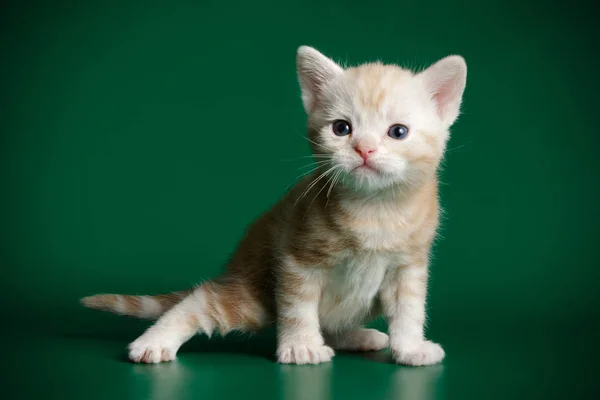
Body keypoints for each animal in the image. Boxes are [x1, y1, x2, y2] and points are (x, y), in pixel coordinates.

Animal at [79, 47, 466, 366]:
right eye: (342, 128)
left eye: (398, 132)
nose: (364, 149)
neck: (374, 212)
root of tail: (235, 266)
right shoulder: (297, 256)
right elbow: (298, 306)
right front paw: (301, 346)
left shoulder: (408, 266)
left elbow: (409, 308)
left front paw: (411, 348)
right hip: (251, 297)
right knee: (201, 301)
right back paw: (153, 342)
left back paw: (353, 336)